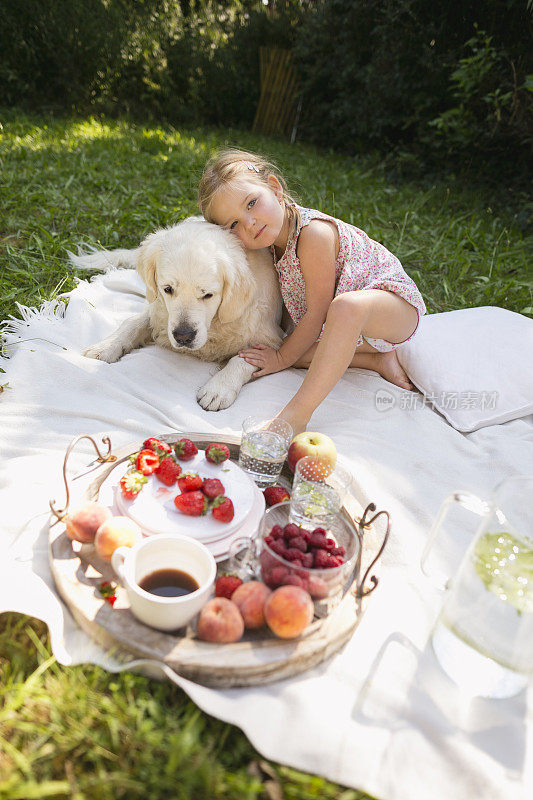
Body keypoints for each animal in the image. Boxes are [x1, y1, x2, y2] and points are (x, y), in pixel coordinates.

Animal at [72, 216, 284, 410]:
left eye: (208, 295)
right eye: (167, 289)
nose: (183, 336)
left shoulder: (270, 337)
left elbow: (244, 358)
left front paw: (218, 389)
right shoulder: (159, 311)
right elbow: (133, 323)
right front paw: (105, 347)